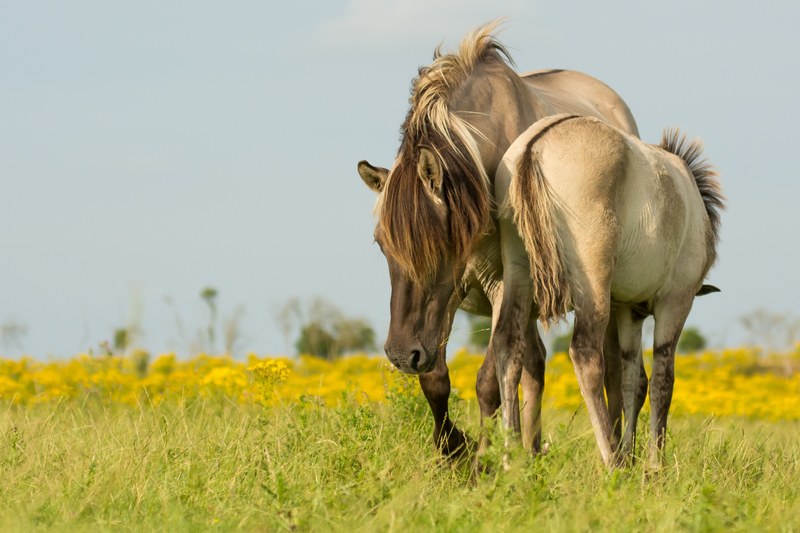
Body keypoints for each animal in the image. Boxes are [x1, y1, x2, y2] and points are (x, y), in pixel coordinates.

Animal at [357, 21, 642, 460]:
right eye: (381, 245)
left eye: (441, 244)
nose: (402, 355)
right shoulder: (451, 296)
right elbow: (436, 380)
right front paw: (452, 450)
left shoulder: (501, 286)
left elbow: (488, 380)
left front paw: (482, 460)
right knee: (535, 365)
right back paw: (531, 450)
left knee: (608, 367)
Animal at [493, 114, 724, 467]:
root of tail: (535, 146)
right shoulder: (675, 303)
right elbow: (662, 381)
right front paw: (653, 464)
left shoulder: (629, 312)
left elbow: (633, 382)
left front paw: (633, 457)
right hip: (593, 285)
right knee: (585, 354)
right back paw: (611, 460)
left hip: (518, 272)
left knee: (508, 345)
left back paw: (509, 460)